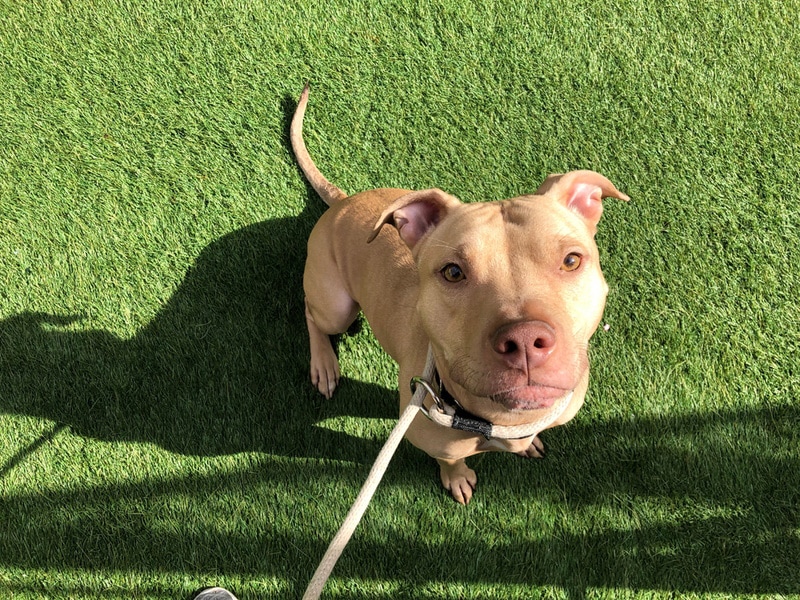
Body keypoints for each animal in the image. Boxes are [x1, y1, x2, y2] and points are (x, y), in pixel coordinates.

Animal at [290, 86, 628, 504]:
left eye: (571, 260)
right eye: (453, 272)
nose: (525, 341)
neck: (501, 420)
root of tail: (341, 201)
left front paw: (529, 443)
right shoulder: (431, 438)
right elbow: (450, 460)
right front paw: (457, 478)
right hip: (336, 304)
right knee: (311, 313)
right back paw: (324, 364)